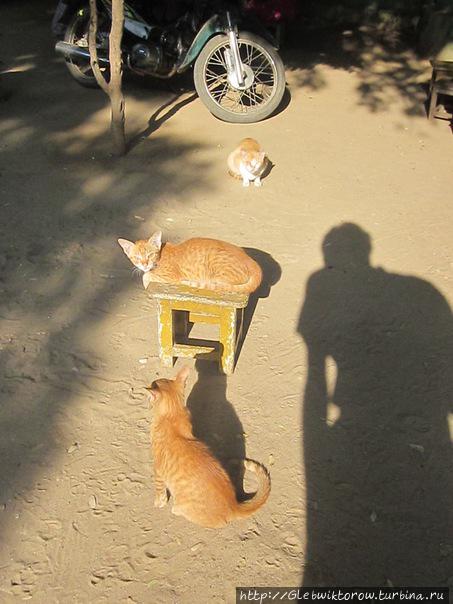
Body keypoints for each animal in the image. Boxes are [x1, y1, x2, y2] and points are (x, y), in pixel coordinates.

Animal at [118, 230, 264, 294]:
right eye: (137, 257)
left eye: (150, 255)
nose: (144, 264)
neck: (160, 257)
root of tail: (252, 261)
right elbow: (146, 274)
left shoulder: (171, 277)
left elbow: (146, 276)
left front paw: (146, 280)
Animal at [147, 364, 270, 528]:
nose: (147, 400)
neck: (172, 415)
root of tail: (234, 505)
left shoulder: (158, 469)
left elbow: (159, 490)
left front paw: (158, 503)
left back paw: (176, 509)